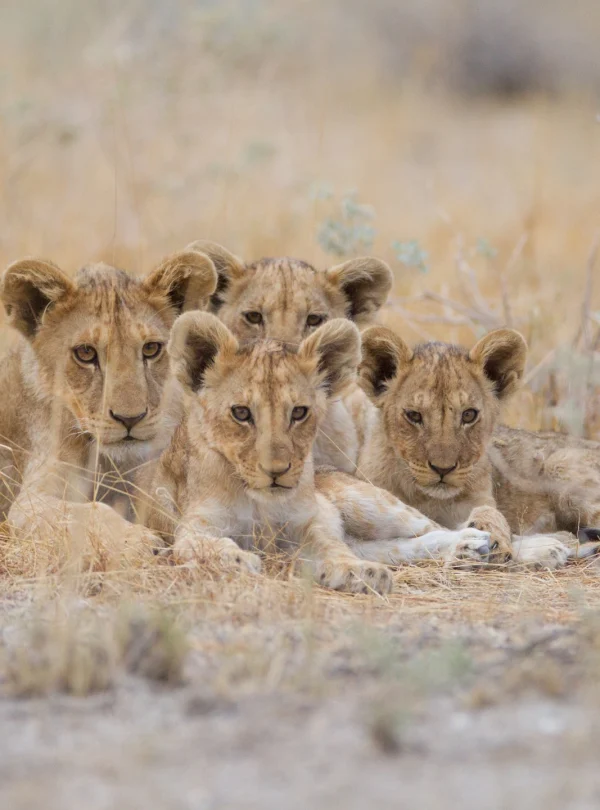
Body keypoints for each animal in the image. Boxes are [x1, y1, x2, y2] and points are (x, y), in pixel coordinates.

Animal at [0, 250, 218, 568]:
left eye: (151, 349)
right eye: (85, 353)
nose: (130, 419)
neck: (112, 464)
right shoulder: (28, 503)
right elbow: (86, 512)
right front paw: (139, 542)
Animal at [135, 313, 494, 592]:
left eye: (298, 412)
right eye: (241, 413)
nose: (277, 471)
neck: (258, 501)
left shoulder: (312, 521)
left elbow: (331, 547)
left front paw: (359, 572)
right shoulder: (193, 526)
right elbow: (202, 546)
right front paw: (239, 559)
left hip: (368, 502)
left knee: (430, 528)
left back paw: (476, 542)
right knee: (401, 546)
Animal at [323, 325, 600, 569]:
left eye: (469, 415)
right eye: (414, 415)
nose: (442, 469)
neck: (429, 498)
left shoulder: (479, 499)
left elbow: (490, 515)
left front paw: (493, 536)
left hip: (561, 464)